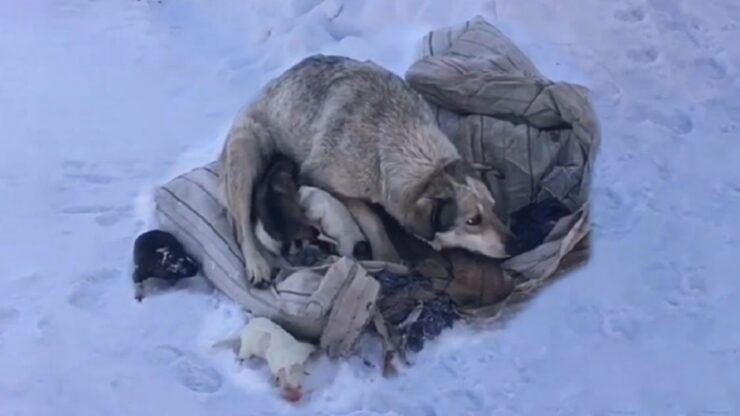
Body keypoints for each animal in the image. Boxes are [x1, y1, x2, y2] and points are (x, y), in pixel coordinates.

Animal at [217, 53, 512, 286]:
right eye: (472, 221)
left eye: (493, 206)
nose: (514, 241)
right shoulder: (320, 177)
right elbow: (371, 218)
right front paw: (388, 256)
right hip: (244, 152)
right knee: (241, 227)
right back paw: (257, 264)